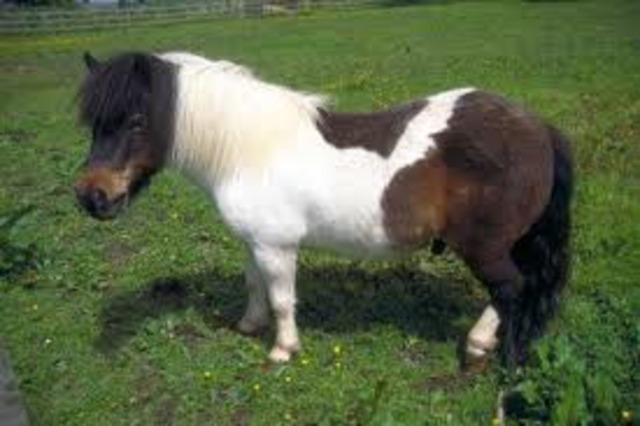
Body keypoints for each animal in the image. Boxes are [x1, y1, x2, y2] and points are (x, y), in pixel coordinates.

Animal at [74, 51, 573, 369]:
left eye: (136, 121)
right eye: (93, 122)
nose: (91, 196)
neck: (249, 151)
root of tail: (538, 126)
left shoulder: (277, 247)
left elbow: (282, 299)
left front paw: (283, 349)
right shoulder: (253, 243)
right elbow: (254, 286)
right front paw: (249, 325)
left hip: (485, 248)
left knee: (510, 289)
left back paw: (477, 346)